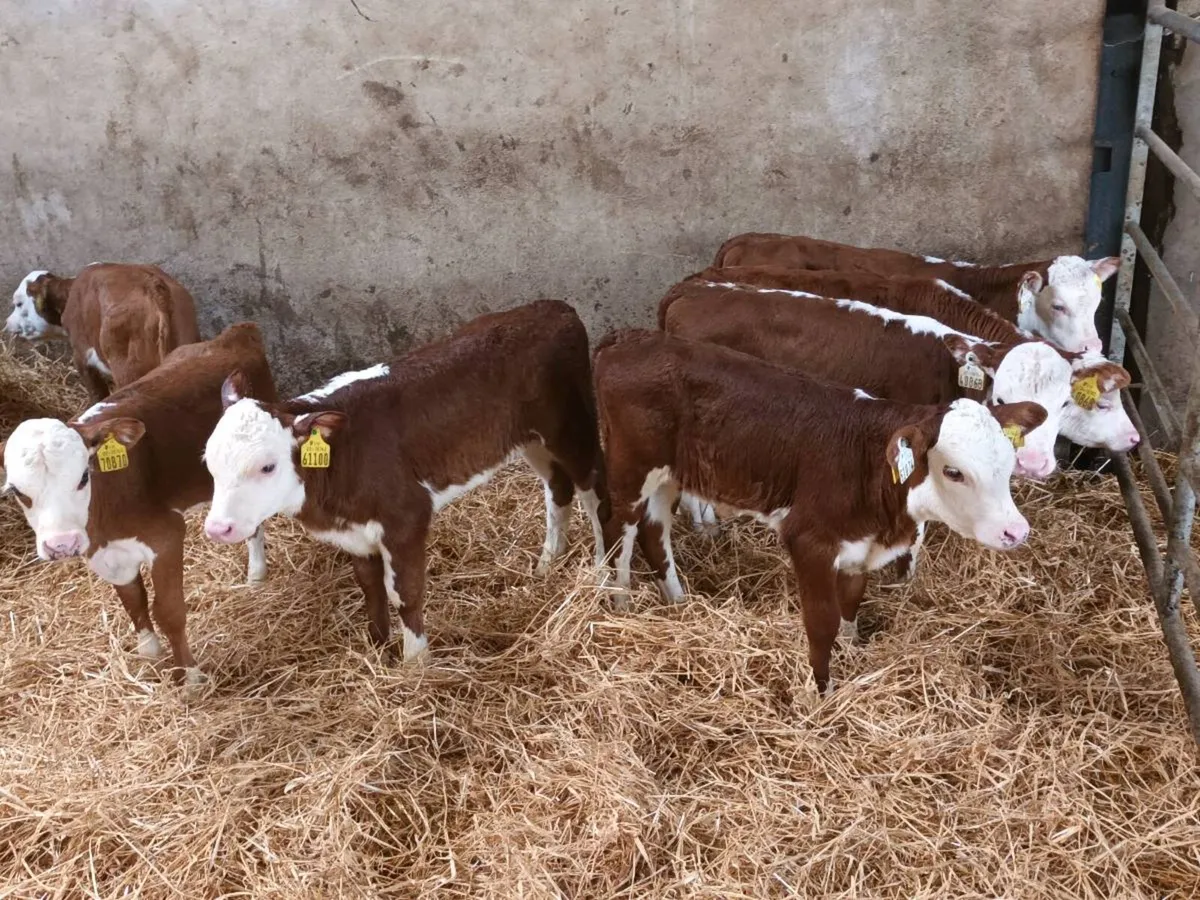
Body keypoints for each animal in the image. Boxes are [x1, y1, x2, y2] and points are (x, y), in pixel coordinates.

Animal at [0, 323, 277, 687]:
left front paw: (190, 678)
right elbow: (133, 601)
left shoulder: (167, 536)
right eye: (16, 491)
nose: (62, 545)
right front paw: (151, 654)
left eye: (83, 476)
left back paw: (256, 574)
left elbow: (169, 611)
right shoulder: (103, 553)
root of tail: (236, 333)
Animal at [6, 263, 201, 402]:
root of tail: (154, 286)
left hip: (129, 370)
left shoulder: (81, 354)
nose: (7, 323)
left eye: (19, 303)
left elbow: (97, 393)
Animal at [201, 299, 609, 663]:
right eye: (209, 462)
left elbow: (404, 594)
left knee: (595, 493)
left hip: (572, 428)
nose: (218, 529)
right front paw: (379, 650)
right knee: (558, 488)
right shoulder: (356, 530)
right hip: (531, 440)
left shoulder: (406, 517)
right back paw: (548, 562)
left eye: (267, 466)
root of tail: (555, 308)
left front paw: (416, 664)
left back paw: (603, 570)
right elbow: (370, 588)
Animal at [592, 329, 1046, 693]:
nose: (1017, 531)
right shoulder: (809, 540)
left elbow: (851, 603)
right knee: (617, 527)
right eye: (953, 471)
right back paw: (620, 603)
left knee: (653, 533)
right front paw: (821, 692)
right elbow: (821, 622)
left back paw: (677, 602)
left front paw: (852, 649)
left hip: (669, 474)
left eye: (1008, 460)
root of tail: (628, 339)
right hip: (632, 468)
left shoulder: (859, 547)